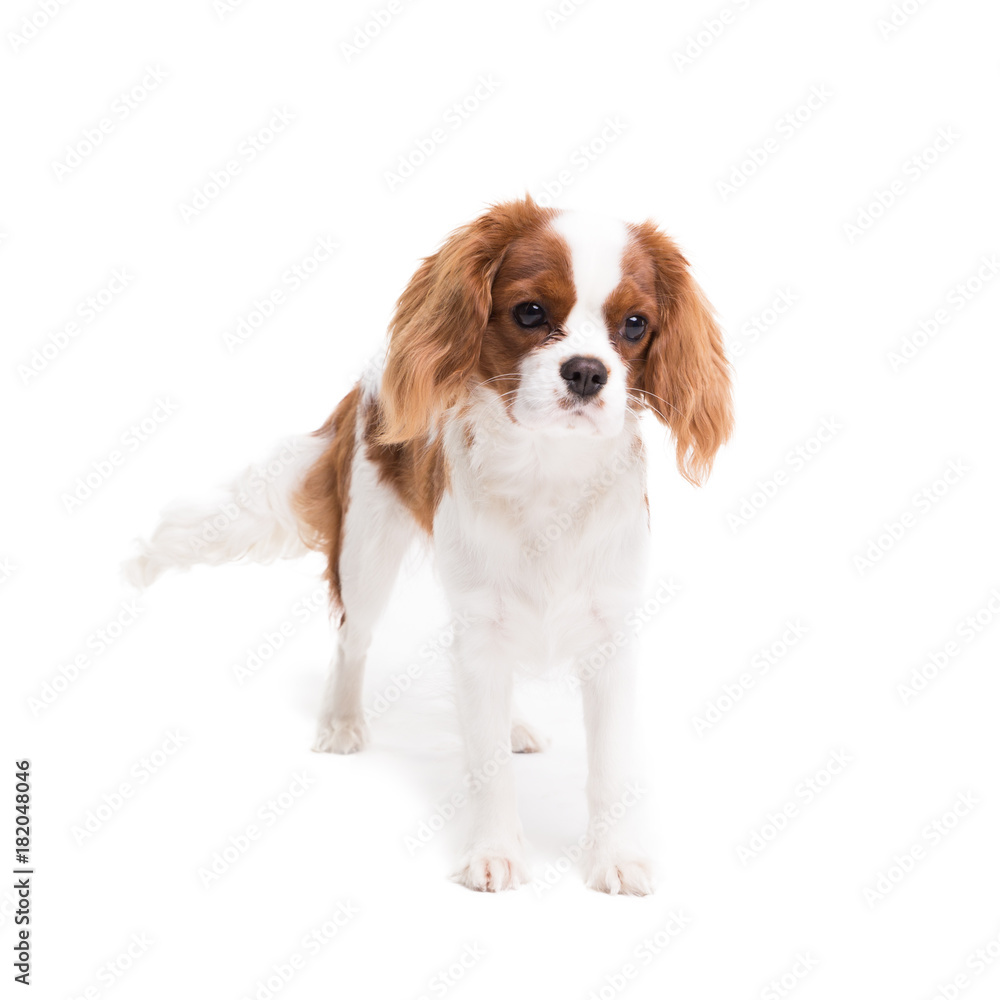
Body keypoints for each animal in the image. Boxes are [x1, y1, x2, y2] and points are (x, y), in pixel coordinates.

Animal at [127, 193, 736, 892]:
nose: (586, 372)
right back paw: (342, 722)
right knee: (352, 640)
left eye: (634, 325)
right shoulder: (477, 629)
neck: (547, 470)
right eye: (531, 312)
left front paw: (615, 858)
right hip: (366, 555)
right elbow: (488, 765)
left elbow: (609, 769)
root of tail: (368, 378)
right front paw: (494, 853)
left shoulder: (610, 637)